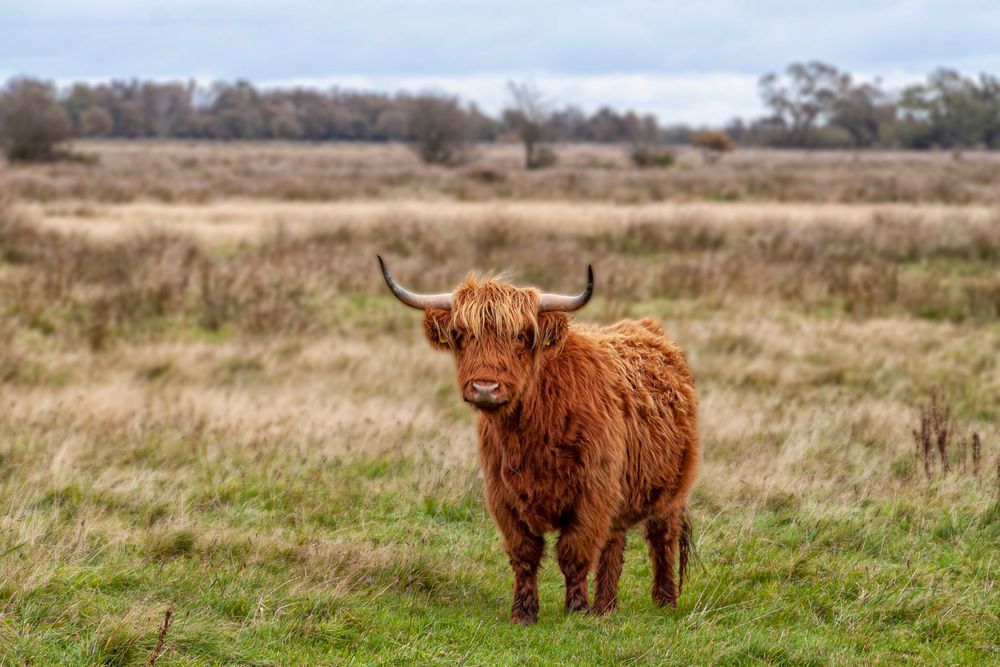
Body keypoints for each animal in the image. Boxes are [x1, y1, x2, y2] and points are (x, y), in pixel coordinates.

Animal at [378, 258, 700, 628]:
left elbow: (574, 552)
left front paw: (577, 610)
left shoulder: (592, 492)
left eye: (521, 336)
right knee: (614, 544)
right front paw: (523, 612)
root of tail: (650, 331)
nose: (485, 388)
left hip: (671, 490)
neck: (530, 433)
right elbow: (525, 554)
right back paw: (607, 606)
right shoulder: (502, 496)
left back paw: (664, 602)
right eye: (462, 335)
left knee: (661, 539)